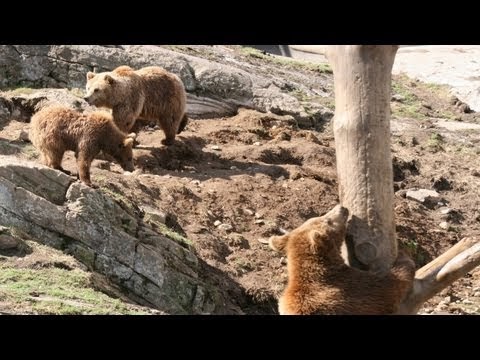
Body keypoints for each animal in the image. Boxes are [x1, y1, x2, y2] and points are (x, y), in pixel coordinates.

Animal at [268, 205, 414, 316]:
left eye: (319, 216)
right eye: (327, 220)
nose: (342, 207)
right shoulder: (348, 291)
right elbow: (387, 288)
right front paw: (404, 257)